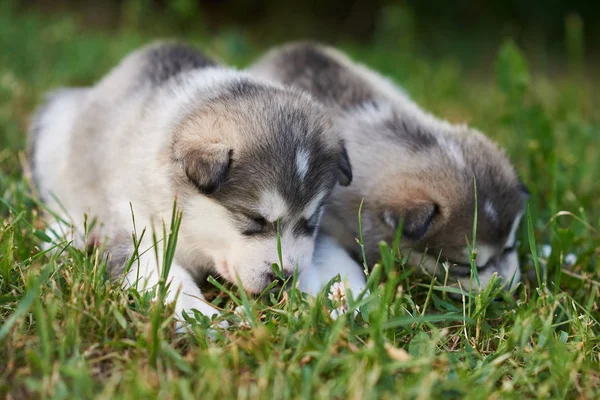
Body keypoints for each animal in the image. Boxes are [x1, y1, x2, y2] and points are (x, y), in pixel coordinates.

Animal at [29, 41, 352, 322]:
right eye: (254, 219)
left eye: (311, 221)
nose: (284, 277)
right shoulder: (132, 223)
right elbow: (165, 275)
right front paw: (201, 316)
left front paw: (331, 299)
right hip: (56, 130)